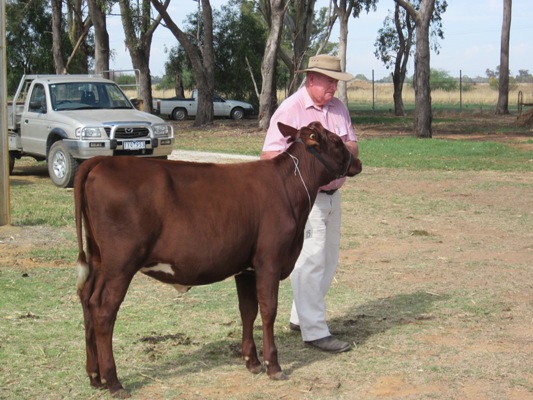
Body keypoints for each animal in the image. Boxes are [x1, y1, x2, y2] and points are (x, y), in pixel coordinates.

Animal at [74, 121, 362, 396]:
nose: (357, 161)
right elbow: (268, 310)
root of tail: (101, 161)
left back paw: (94, 377)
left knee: (88, 300)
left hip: (99, 260)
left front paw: (252, 362)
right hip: (120, 265)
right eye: (337, 141)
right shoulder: (269, 261)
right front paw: (273, 366)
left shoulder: (245, 267)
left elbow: (248, 310)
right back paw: (113, 382)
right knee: (104, 310)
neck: (288, 187)